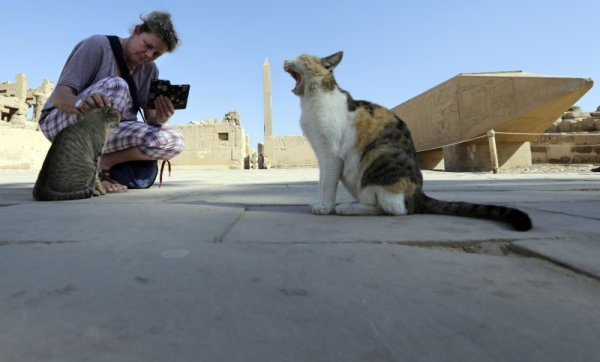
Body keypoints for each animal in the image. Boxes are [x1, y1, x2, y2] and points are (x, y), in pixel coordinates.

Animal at [284, 51, 532, 232]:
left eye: (301, 56)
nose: (284, 60)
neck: (311, 100)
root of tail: (419, 195)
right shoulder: (321, 154)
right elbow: (321, 182)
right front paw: (320, 203)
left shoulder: (331, 155)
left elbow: (327, 184)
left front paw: (325, 207)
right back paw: (354, 205)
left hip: (379, 152)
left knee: (397, 209)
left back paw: (347, 208)